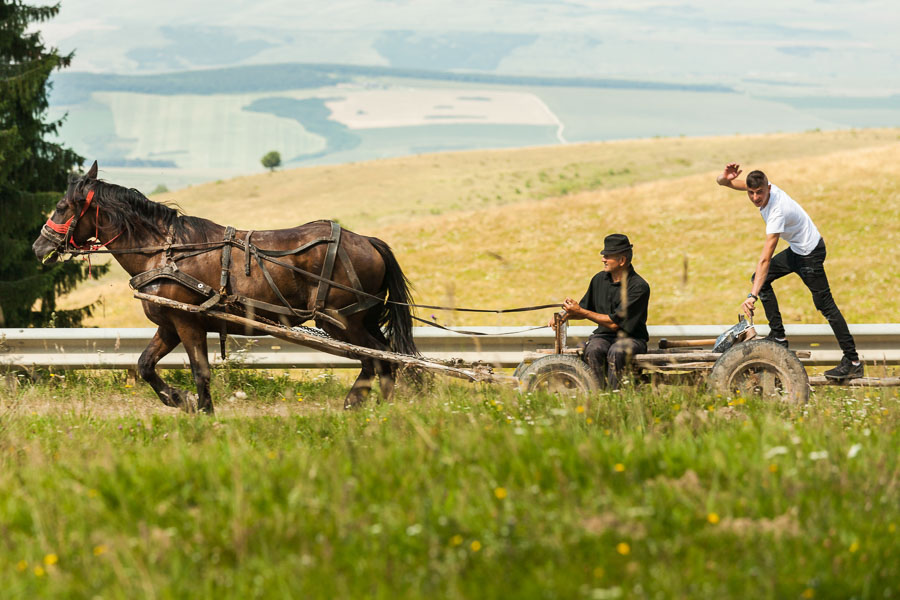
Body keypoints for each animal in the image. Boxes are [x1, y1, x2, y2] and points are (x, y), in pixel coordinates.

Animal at [31, 159, 418, 412]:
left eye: (61, 206)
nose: (39, 245)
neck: (165, 251)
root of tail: (367, 241)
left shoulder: (188, 322)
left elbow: (200, 372)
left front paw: (202, 411)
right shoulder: (169, 325)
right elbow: (144, 365)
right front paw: (179, 400)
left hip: (341, 320)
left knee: (380, 359)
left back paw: (366, 408)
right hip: (360, 319)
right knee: (382, 357)